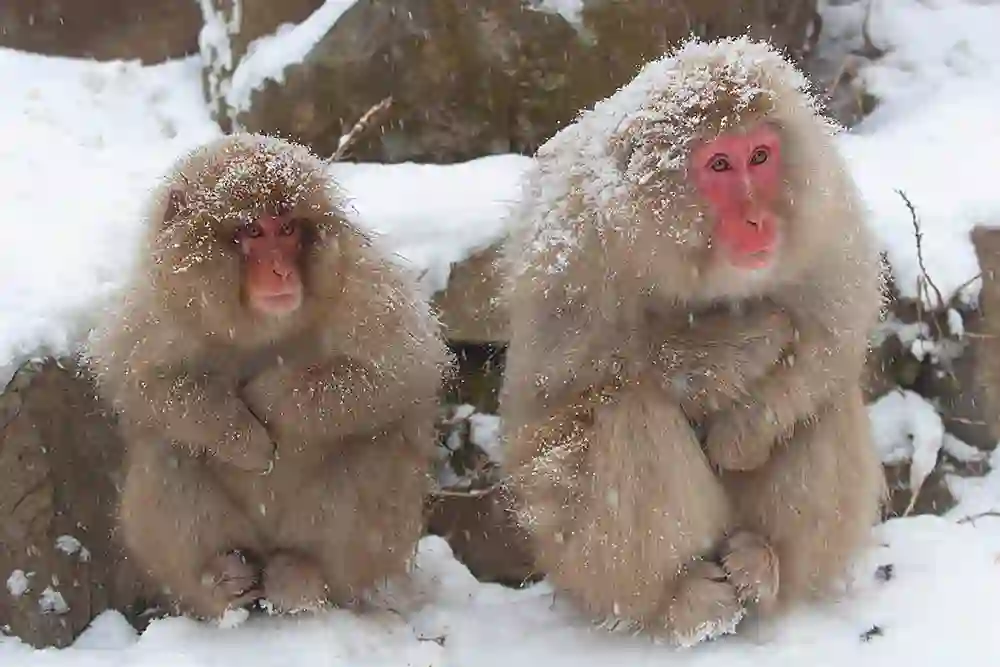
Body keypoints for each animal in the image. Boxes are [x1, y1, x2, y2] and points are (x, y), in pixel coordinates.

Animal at [85, 133, 453, 620]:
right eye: (254, 232)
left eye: (289, 229)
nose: (280, 270)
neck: (259, 327)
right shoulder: (157, 304)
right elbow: (137, 380)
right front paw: (240, 435)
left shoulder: (360, 283)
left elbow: (400, 368)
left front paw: (267, 398)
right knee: (164, 449)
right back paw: (218, 582)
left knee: (377, 447)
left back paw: (302, 577)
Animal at [499, 36, 886, 646]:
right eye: (720, 165)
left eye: (760, 157)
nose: (757, 221)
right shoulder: (575, 248)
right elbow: (559, 406)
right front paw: (733, 347)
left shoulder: (826, 212)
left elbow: (835, 332)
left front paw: (741, 435)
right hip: (578, 568)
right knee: (628, 410)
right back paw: (679, 600)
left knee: (828, 399)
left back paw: (768, 564)